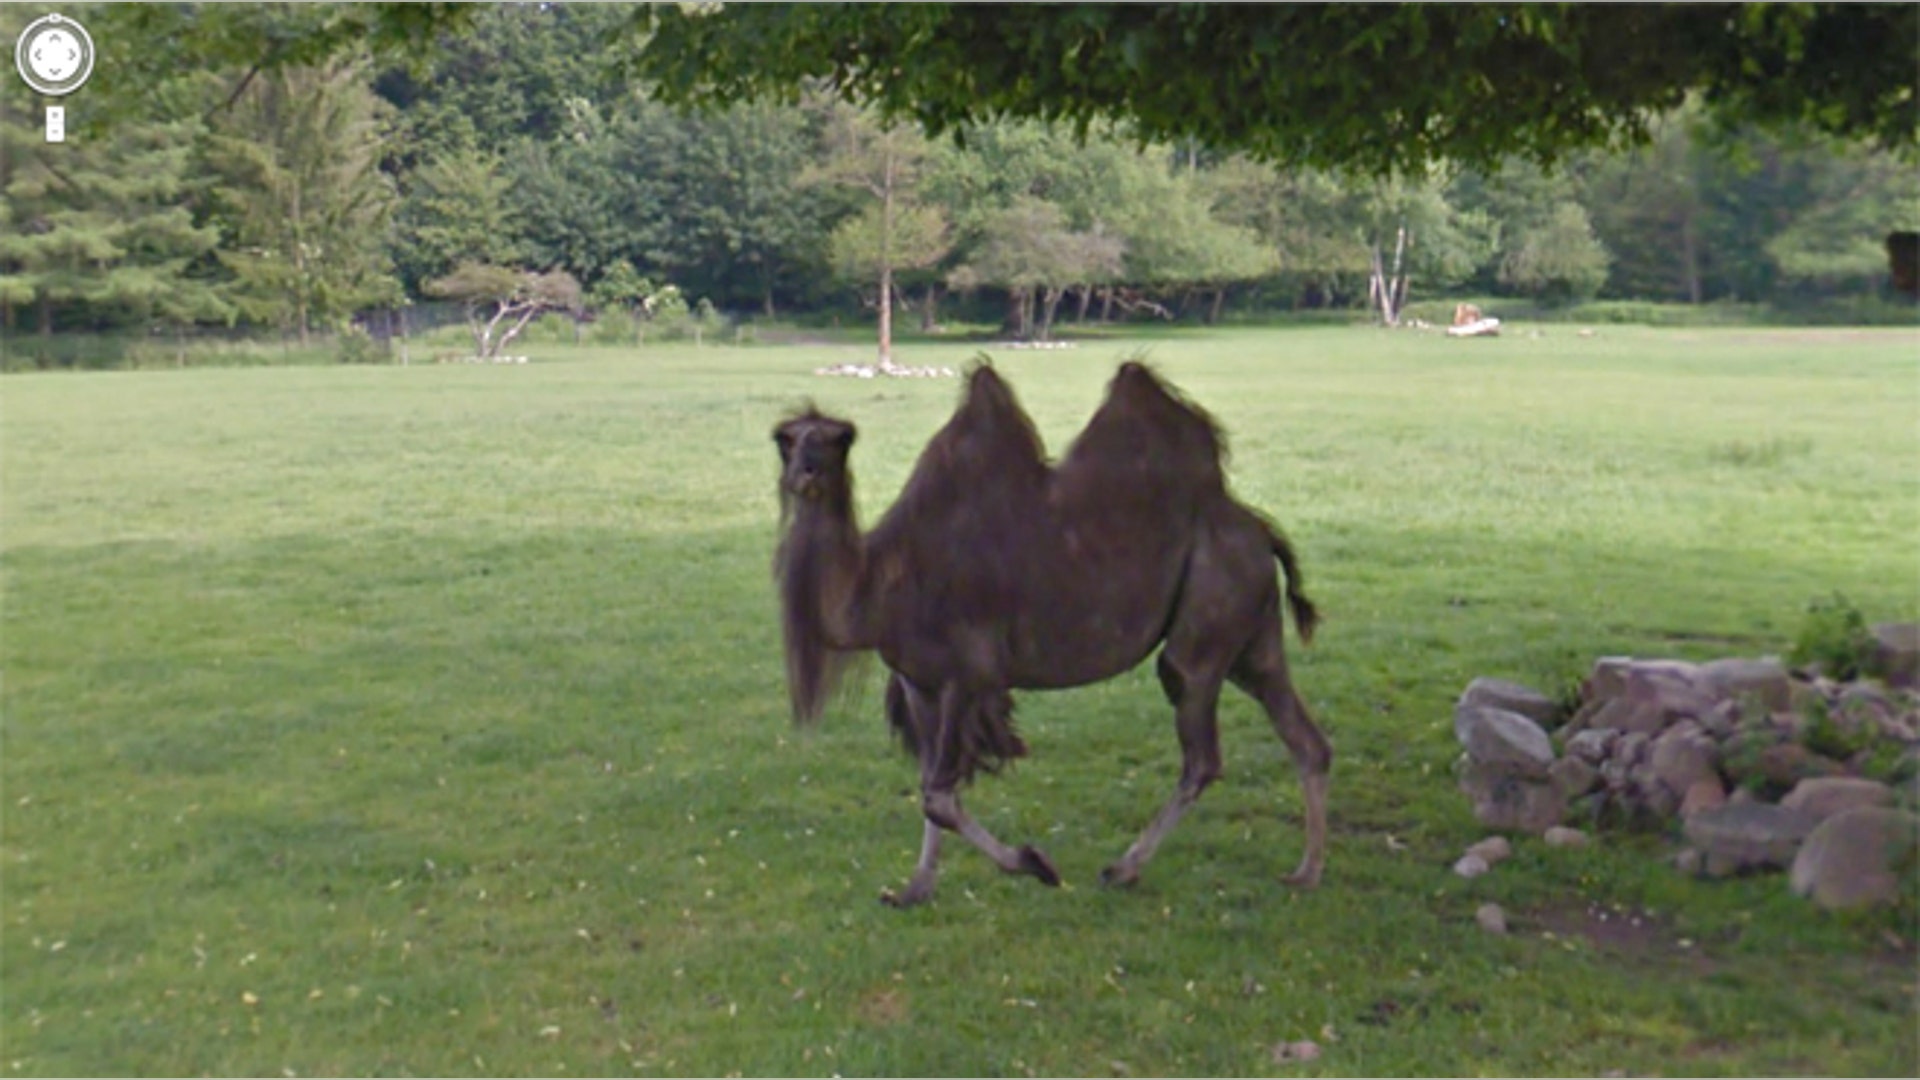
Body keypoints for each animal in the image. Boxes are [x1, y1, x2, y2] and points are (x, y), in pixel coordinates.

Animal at [773, 358, 1329, 907]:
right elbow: (930, 787)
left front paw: (1035, 864)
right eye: (786, 439)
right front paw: (915, 888)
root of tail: (1262, 531)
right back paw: (1305, 872)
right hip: (1253, 643)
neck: (882, 585)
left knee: (1201, 750)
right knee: (1305, 739)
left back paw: (1124, 869)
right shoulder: (919, 684)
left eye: (838, 438)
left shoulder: (970, 673)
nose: (805, 474)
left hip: (1207, 624)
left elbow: (940, 796)